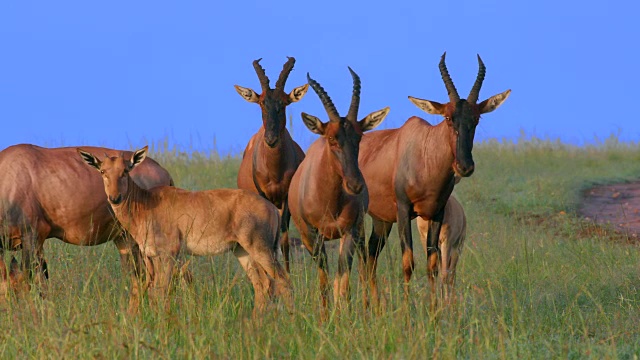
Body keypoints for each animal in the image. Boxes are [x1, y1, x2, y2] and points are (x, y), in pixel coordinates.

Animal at [0, 143, 172, 310]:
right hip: (124, 240)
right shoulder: (35, 244)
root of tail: (165, 174)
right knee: (140, 280)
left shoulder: (33, 235)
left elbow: (27, 281)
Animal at [234, 56, 308, 272]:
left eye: (284, 103)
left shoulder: (286, 200)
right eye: (261, 102)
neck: (275, 170)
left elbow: (284, 240)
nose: (271, 139)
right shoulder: (262, 196)